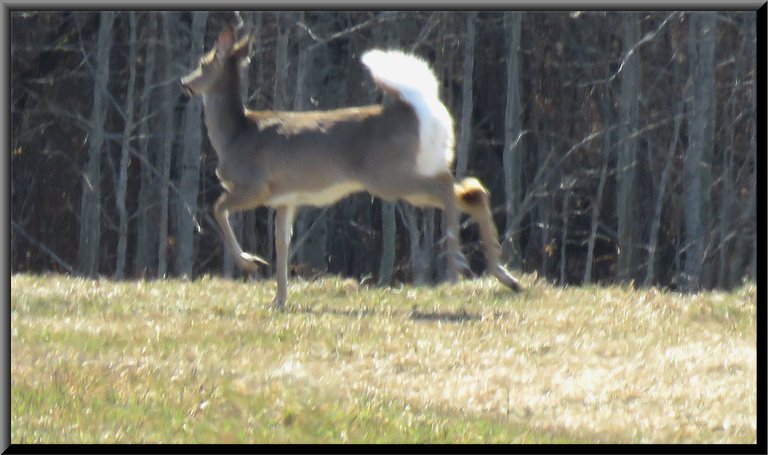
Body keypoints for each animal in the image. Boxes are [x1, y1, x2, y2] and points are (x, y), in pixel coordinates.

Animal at [182, 25, 520, 310]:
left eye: (203, 63)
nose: (185, 84)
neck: (236, 135)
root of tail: (416, 107)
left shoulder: (255, 185)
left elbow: (217, 207)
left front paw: (249, 262)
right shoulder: (286, 199)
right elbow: (282, 244)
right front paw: (279, 300)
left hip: (388, 175)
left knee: (448, 186)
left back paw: (458, 264)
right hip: (409, 172)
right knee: (473, 191)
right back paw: (507, 278)